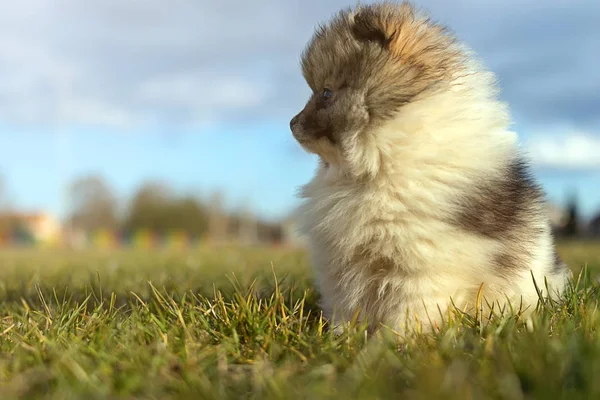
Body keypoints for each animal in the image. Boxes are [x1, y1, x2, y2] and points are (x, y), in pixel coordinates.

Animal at [290, 1, 572, 336]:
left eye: (326, 93)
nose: (292, 123)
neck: (377, 162)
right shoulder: (343, 267)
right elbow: (346, 306)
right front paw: (341, 337)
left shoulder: (421, 265)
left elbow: (410, 309)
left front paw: (395, 341)